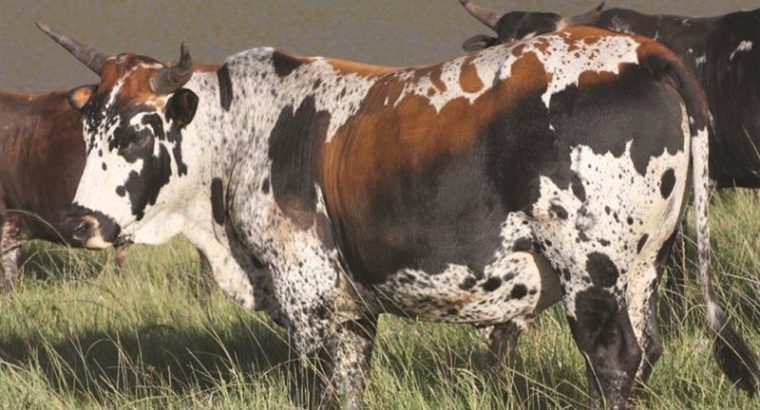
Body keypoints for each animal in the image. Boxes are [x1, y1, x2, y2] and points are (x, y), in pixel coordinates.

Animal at [38, 21, 756, 409]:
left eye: (138, 131)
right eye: (89, 126)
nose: (80, 223)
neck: (243, 134)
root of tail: (640, 51)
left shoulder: (305, 301)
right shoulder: (350, 311)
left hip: (592, 275)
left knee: (612, 361)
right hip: (645, 270)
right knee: (646, 353)